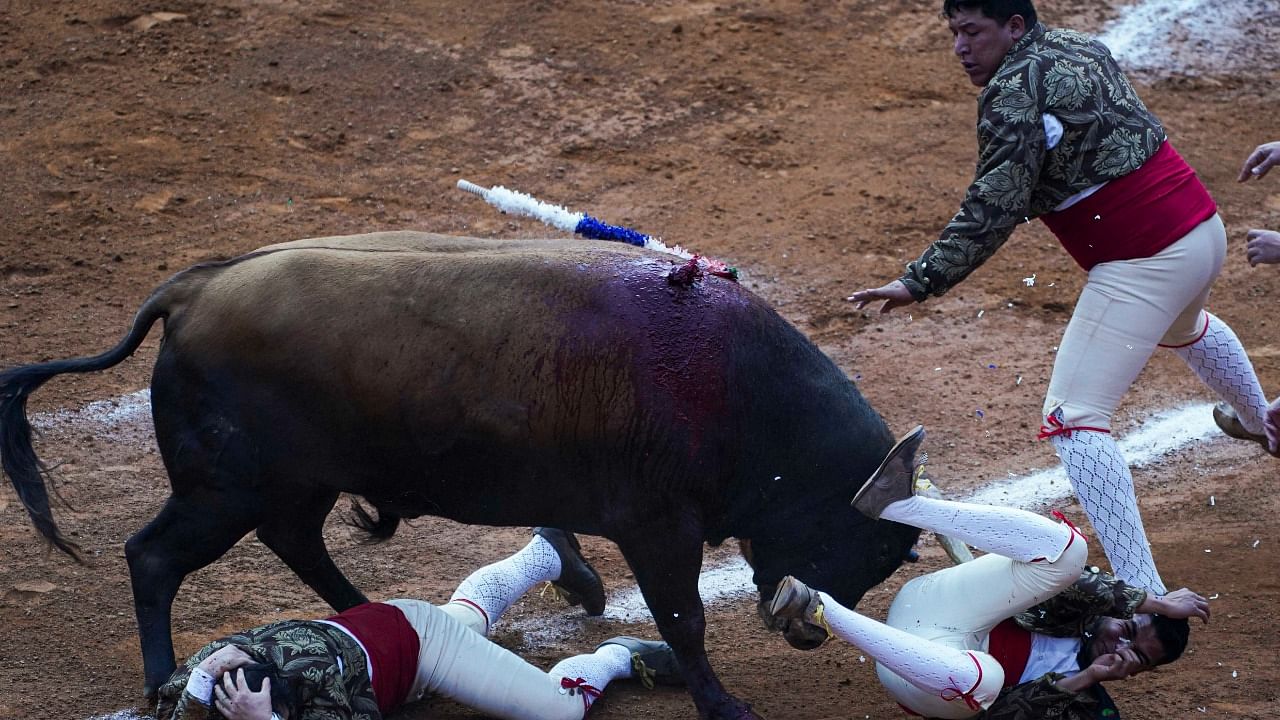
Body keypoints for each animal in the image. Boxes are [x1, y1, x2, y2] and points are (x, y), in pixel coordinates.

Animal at [2, 233, 921, 712]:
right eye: (864, 545)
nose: (809, 628)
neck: (741, 393)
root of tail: (190, 292)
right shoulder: (659, 527)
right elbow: (686, 618)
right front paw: (723, 703)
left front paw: (580, 580)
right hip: (221, 491)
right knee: (154, 555)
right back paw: (162, 678)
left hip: (289, 485)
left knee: (295, 542)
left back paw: (365, 611)